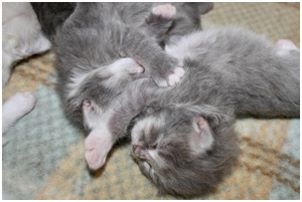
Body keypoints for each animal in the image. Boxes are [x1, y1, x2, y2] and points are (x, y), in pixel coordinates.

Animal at [82, 26, 300, 196]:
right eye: (155, 143)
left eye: (149, 167)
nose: (136, 150)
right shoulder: (151, 90)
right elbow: (118, 114)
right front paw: (98, 144)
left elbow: (114, 110)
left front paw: (93, 115)